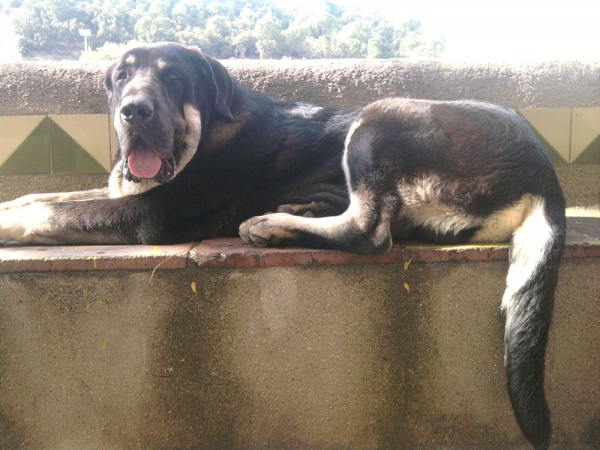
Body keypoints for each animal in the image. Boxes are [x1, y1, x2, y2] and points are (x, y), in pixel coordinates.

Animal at [0, 41, 564, 446]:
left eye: (173, 77)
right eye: (121, 77)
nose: (134, 111)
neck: (210, 130)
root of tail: (544, 170)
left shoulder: (146, 216)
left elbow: (49, 210)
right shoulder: (124, 192)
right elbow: (37, 196)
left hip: (379, 117)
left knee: (368, 229)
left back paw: (270, 223)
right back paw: (296, 213)